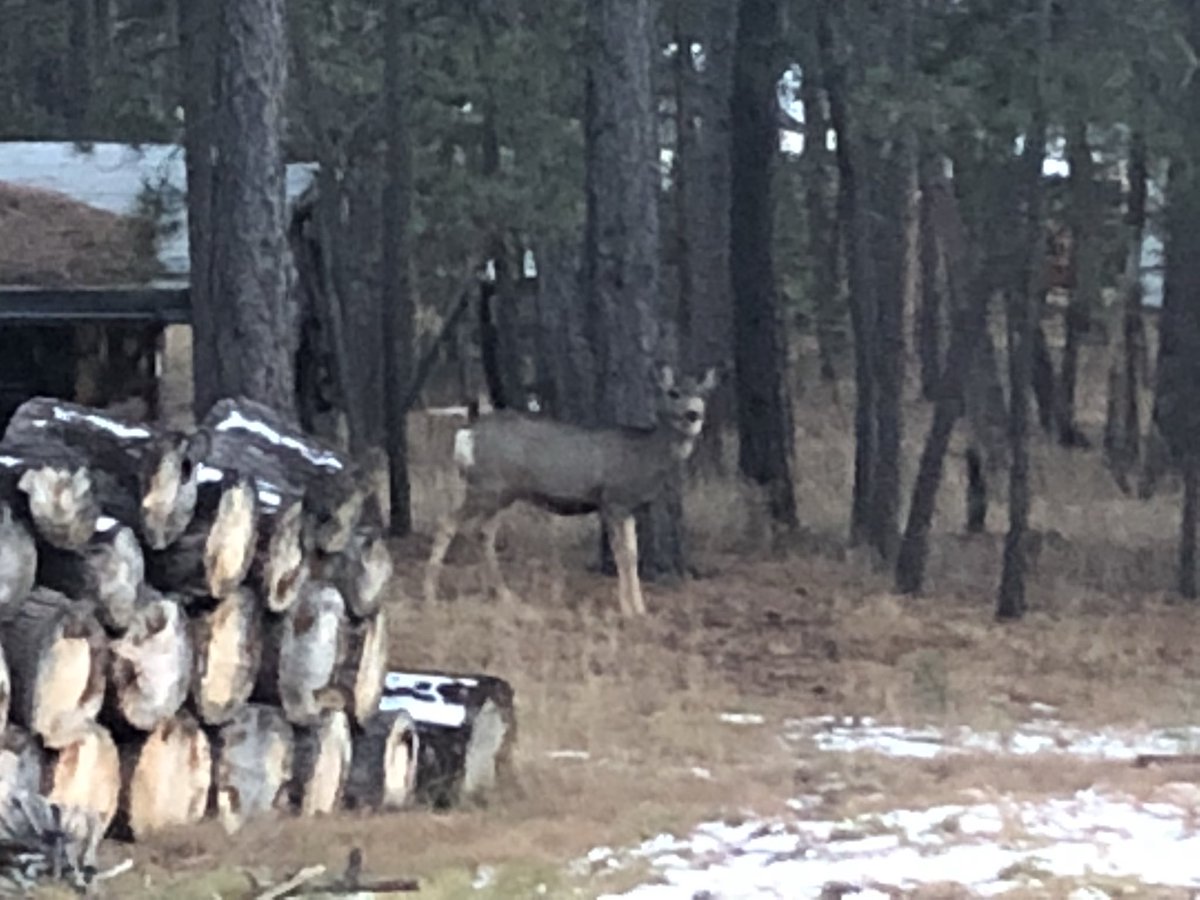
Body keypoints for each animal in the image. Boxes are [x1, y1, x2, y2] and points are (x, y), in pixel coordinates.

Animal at [423, 365, 719, 616]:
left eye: (702, 394)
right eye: (674, 392)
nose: (693, 414)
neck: (643, 456)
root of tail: (466, 433)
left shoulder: (627, 507)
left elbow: (633, 553)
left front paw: (641, 608)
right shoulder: (612, 499)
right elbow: (623, 555)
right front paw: (627, 609)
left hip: (501, 493)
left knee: (482, 532)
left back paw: (504, 596)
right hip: (486, 487)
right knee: (448, 521)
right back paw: (430, 595)